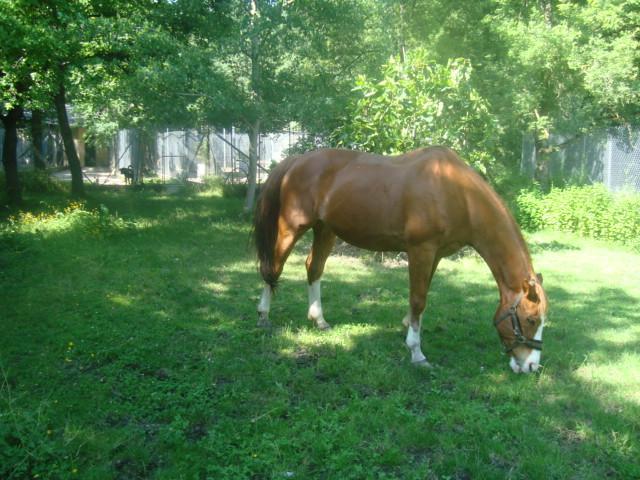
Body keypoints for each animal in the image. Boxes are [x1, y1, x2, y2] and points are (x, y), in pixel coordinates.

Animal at [253, 147, 548, 374]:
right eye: (531, 319)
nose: (532, 366)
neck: (457, 193)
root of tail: (296, 161)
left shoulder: (435, 254)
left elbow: (421, 297)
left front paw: (409, 327)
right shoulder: (421, 249)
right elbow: (418, 299)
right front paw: (417, 353)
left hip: (325, 229)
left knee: (313, 268)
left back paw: (319, 320)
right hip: (292, 227)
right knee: (274, 267)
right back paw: (264, 316)